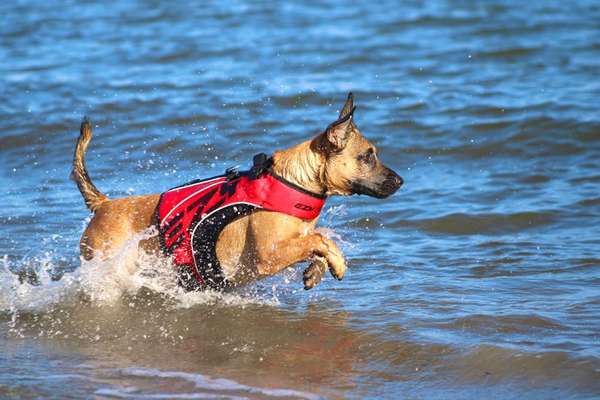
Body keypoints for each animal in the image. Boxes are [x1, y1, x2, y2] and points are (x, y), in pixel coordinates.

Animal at [74, 92, 404, 290]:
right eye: (367, 156)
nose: (401, 181)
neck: (293, 182)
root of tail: (103, 205)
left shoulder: (296, 240)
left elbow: (316, 239)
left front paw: (318, 269)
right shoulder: (269, 255)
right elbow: (321, 239)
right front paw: (338, 262)